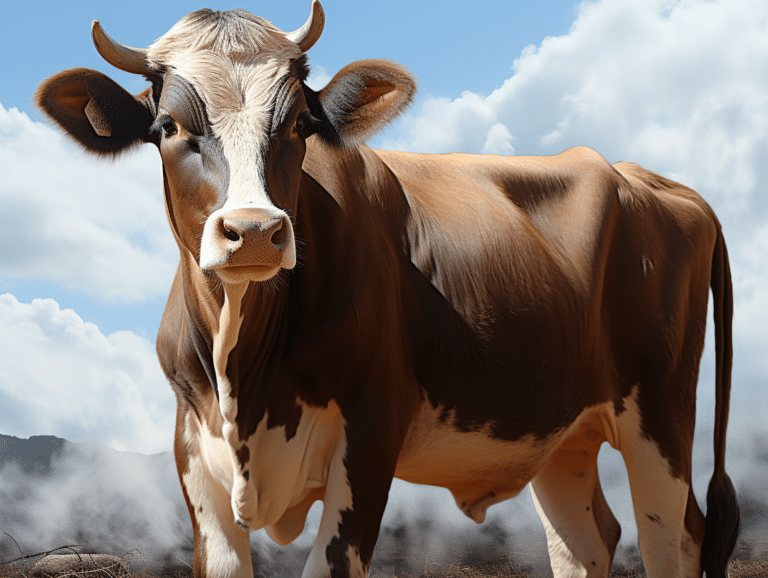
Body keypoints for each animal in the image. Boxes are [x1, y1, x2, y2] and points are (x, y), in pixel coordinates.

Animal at [36, 3, 740, 577]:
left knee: (674, 538)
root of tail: (650, 179)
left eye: (299, 125)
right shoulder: (193, 442)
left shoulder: (372, 429)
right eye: (169, 127)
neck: (247, 382)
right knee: (587, 541)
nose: (256, 231)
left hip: (661, 415)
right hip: (561, 431)